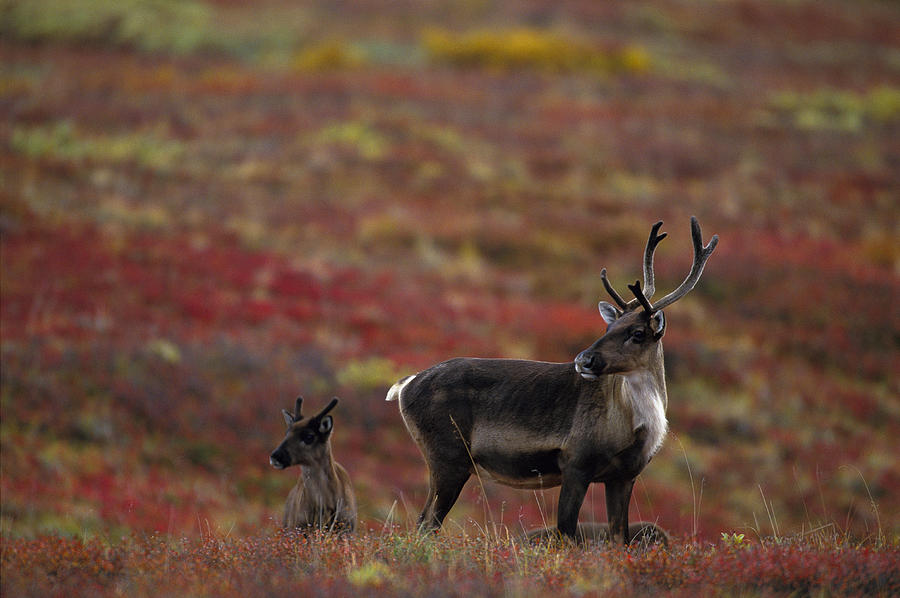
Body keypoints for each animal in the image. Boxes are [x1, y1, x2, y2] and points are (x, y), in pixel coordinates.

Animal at [270, 398, 358, 536]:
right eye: (287, 433)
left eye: (309, 436)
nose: (275, 456)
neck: (325, 505)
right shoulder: (298, 527)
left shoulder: (347, 528)